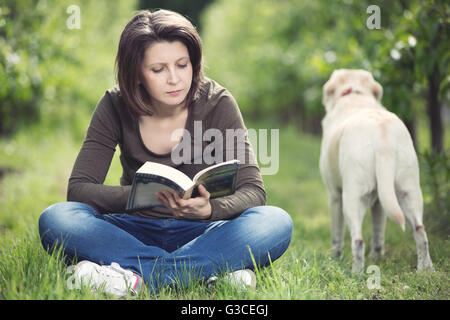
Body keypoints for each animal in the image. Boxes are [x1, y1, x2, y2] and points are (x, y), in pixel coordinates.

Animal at [318, 68, 434, 272]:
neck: (355, 95)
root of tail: (382, 137)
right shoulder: (380, 203)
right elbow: (379, 232)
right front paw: (376, 258)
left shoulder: (334, 196)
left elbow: (336, 234)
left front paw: (334, 258)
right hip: (409, 192)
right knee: (420, 231)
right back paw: (425, 270)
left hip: (352, 198)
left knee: (357, 240)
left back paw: (355, 273)